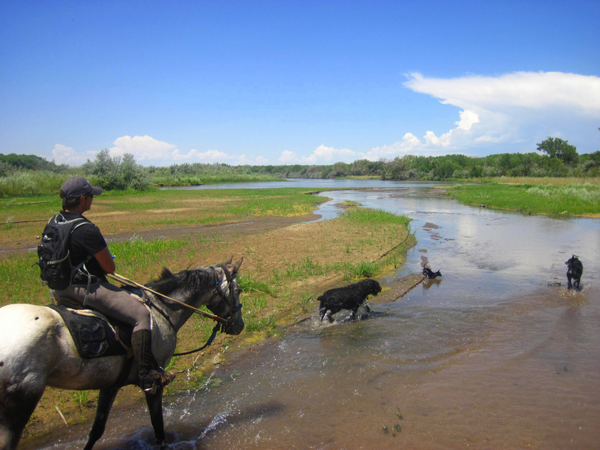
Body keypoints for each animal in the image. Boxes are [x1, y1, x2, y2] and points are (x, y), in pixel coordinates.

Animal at [0, 256, 244, 450]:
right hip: (19, 406)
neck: (162, 308)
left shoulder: (111, 384)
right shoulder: (153, 383)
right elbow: (158, 426)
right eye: (239, 290)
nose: (240, 325)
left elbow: (97, 430)